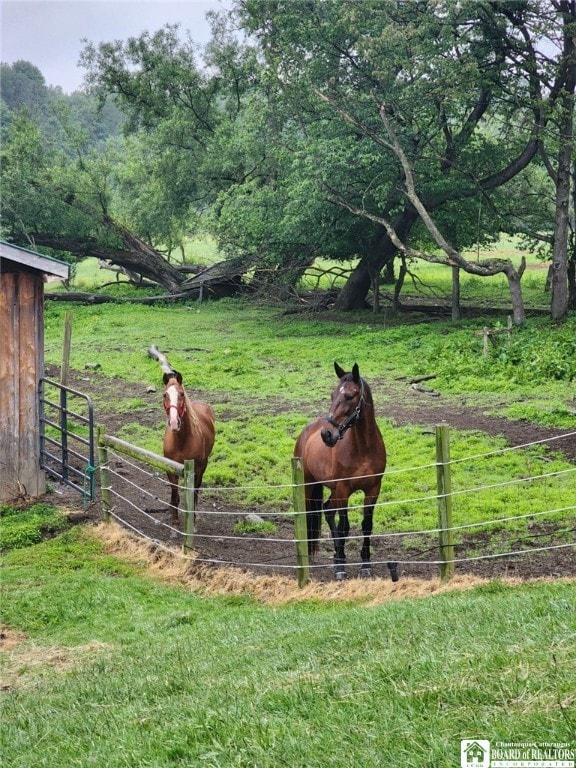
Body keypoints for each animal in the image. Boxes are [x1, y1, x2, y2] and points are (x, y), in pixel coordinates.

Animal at [148, 344, 216, 524]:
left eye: (181, 394)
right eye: (165, 394)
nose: (174, 422)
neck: (181, 441)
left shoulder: (196, 468)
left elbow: (192, 494)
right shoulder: (171, 468)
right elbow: (175, 495)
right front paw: (175, 520)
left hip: (203, 466)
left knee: (196, 490)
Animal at [294, 364, 398, 580]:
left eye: (350, 395)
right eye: (333, 395)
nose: (327, 434)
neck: (363, 449)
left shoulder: (373, 489)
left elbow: (366, 525)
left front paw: (365, 564)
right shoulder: (344, 489)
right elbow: (345, 526)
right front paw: (341, 568)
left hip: (333, 490)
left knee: (327, 510)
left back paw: (336, 553)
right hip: (311, 487)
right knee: (312, 516)